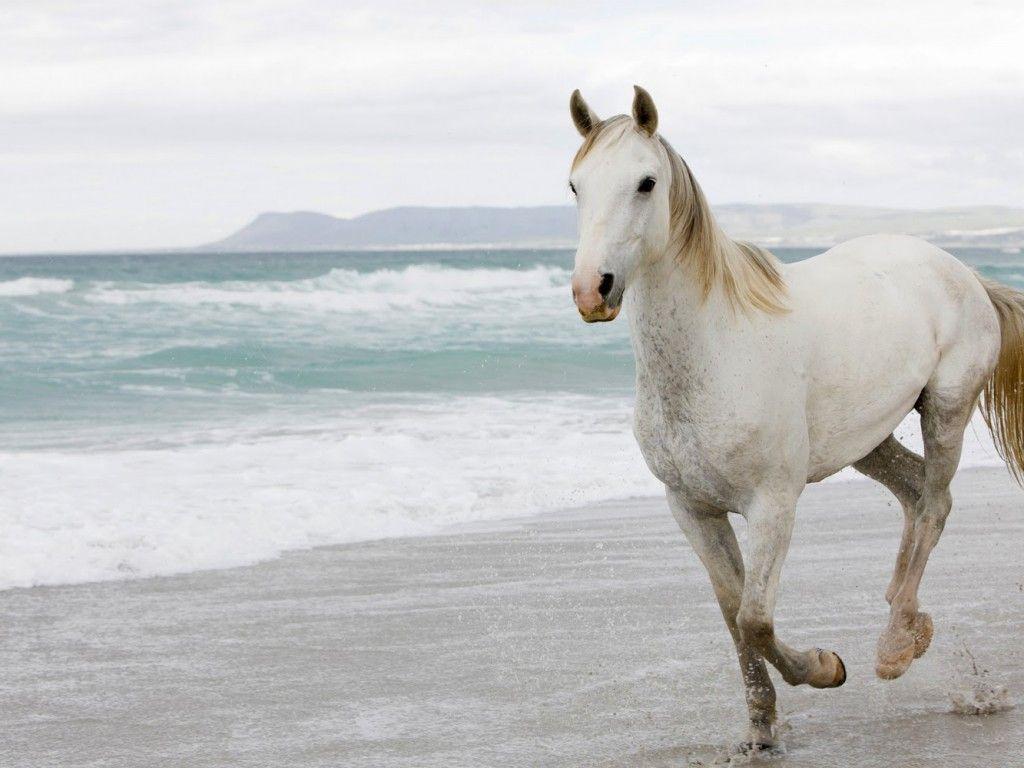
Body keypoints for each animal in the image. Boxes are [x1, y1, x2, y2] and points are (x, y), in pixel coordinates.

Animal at [566, 85, 1024, 753]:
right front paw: (760, 729)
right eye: (576, 185)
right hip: (867, 441)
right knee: (916, 494)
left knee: (936, 502)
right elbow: (733, 616)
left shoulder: (773, 504)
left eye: (646, 182)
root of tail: (964, 271)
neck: (716, 348)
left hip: (945, 410)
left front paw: (827, 668)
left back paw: (894, 647)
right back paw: (909, 621)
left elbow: (756, 618)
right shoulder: (692, 509)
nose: (591, 290)